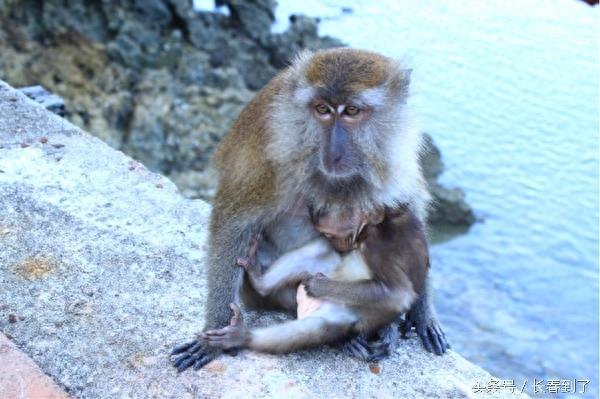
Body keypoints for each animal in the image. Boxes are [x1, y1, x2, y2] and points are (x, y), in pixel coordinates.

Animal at [202, 205, 432, 354]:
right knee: (319, 251)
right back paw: (259, 281)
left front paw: (318, 286)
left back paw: (242, 336)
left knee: (314, 329)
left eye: (330, 233)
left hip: (342, 320)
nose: (338, 243)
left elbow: (398, 294)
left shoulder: (378, 245)